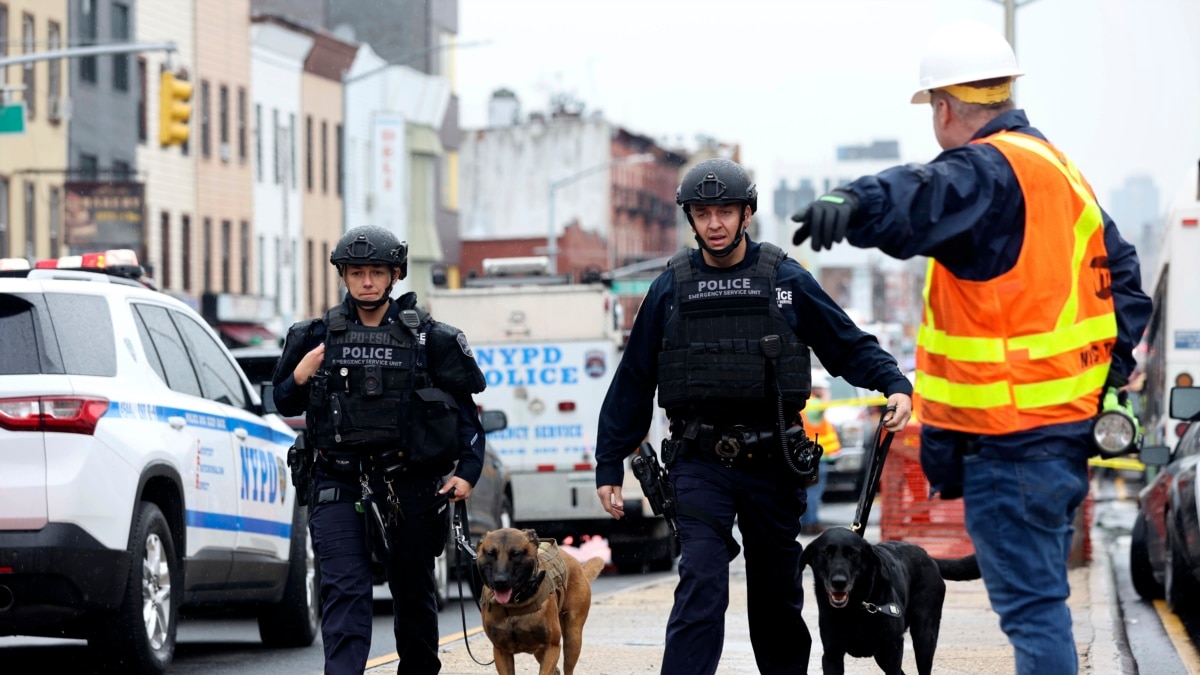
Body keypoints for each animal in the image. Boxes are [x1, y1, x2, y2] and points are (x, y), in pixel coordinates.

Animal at [475, 526, 604, 672]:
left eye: (516, 553)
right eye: (490, 554)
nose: (500, 582)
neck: (515, 603)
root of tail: (578, 565)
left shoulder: (552, 647)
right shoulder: (501, 652)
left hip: (572, 639)